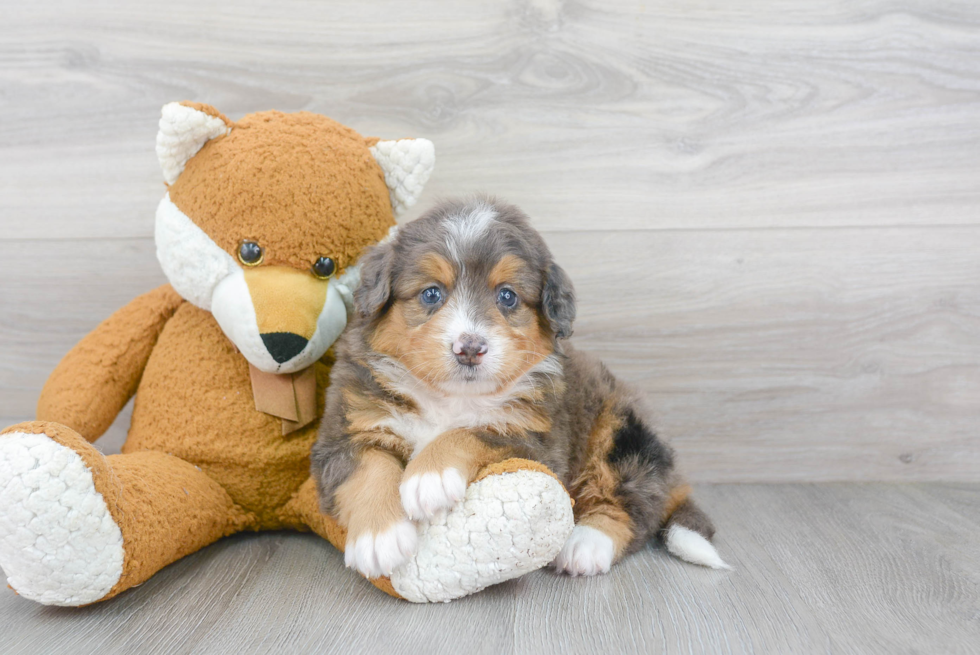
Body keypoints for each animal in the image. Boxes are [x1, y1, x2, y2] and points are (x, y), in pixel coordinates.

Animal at [314, 197, 728, 576]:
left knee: (633, 503)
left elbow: (472, 431)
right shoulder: (345, 429)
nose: (470, 348)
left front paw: (429, 477)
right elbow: (369, 467)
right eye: (431, 293)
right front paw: (378, 538)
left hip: (623, 430)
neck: (451, 398)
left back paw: (586, 543)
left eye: (507, 296)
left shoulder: (537, 441)